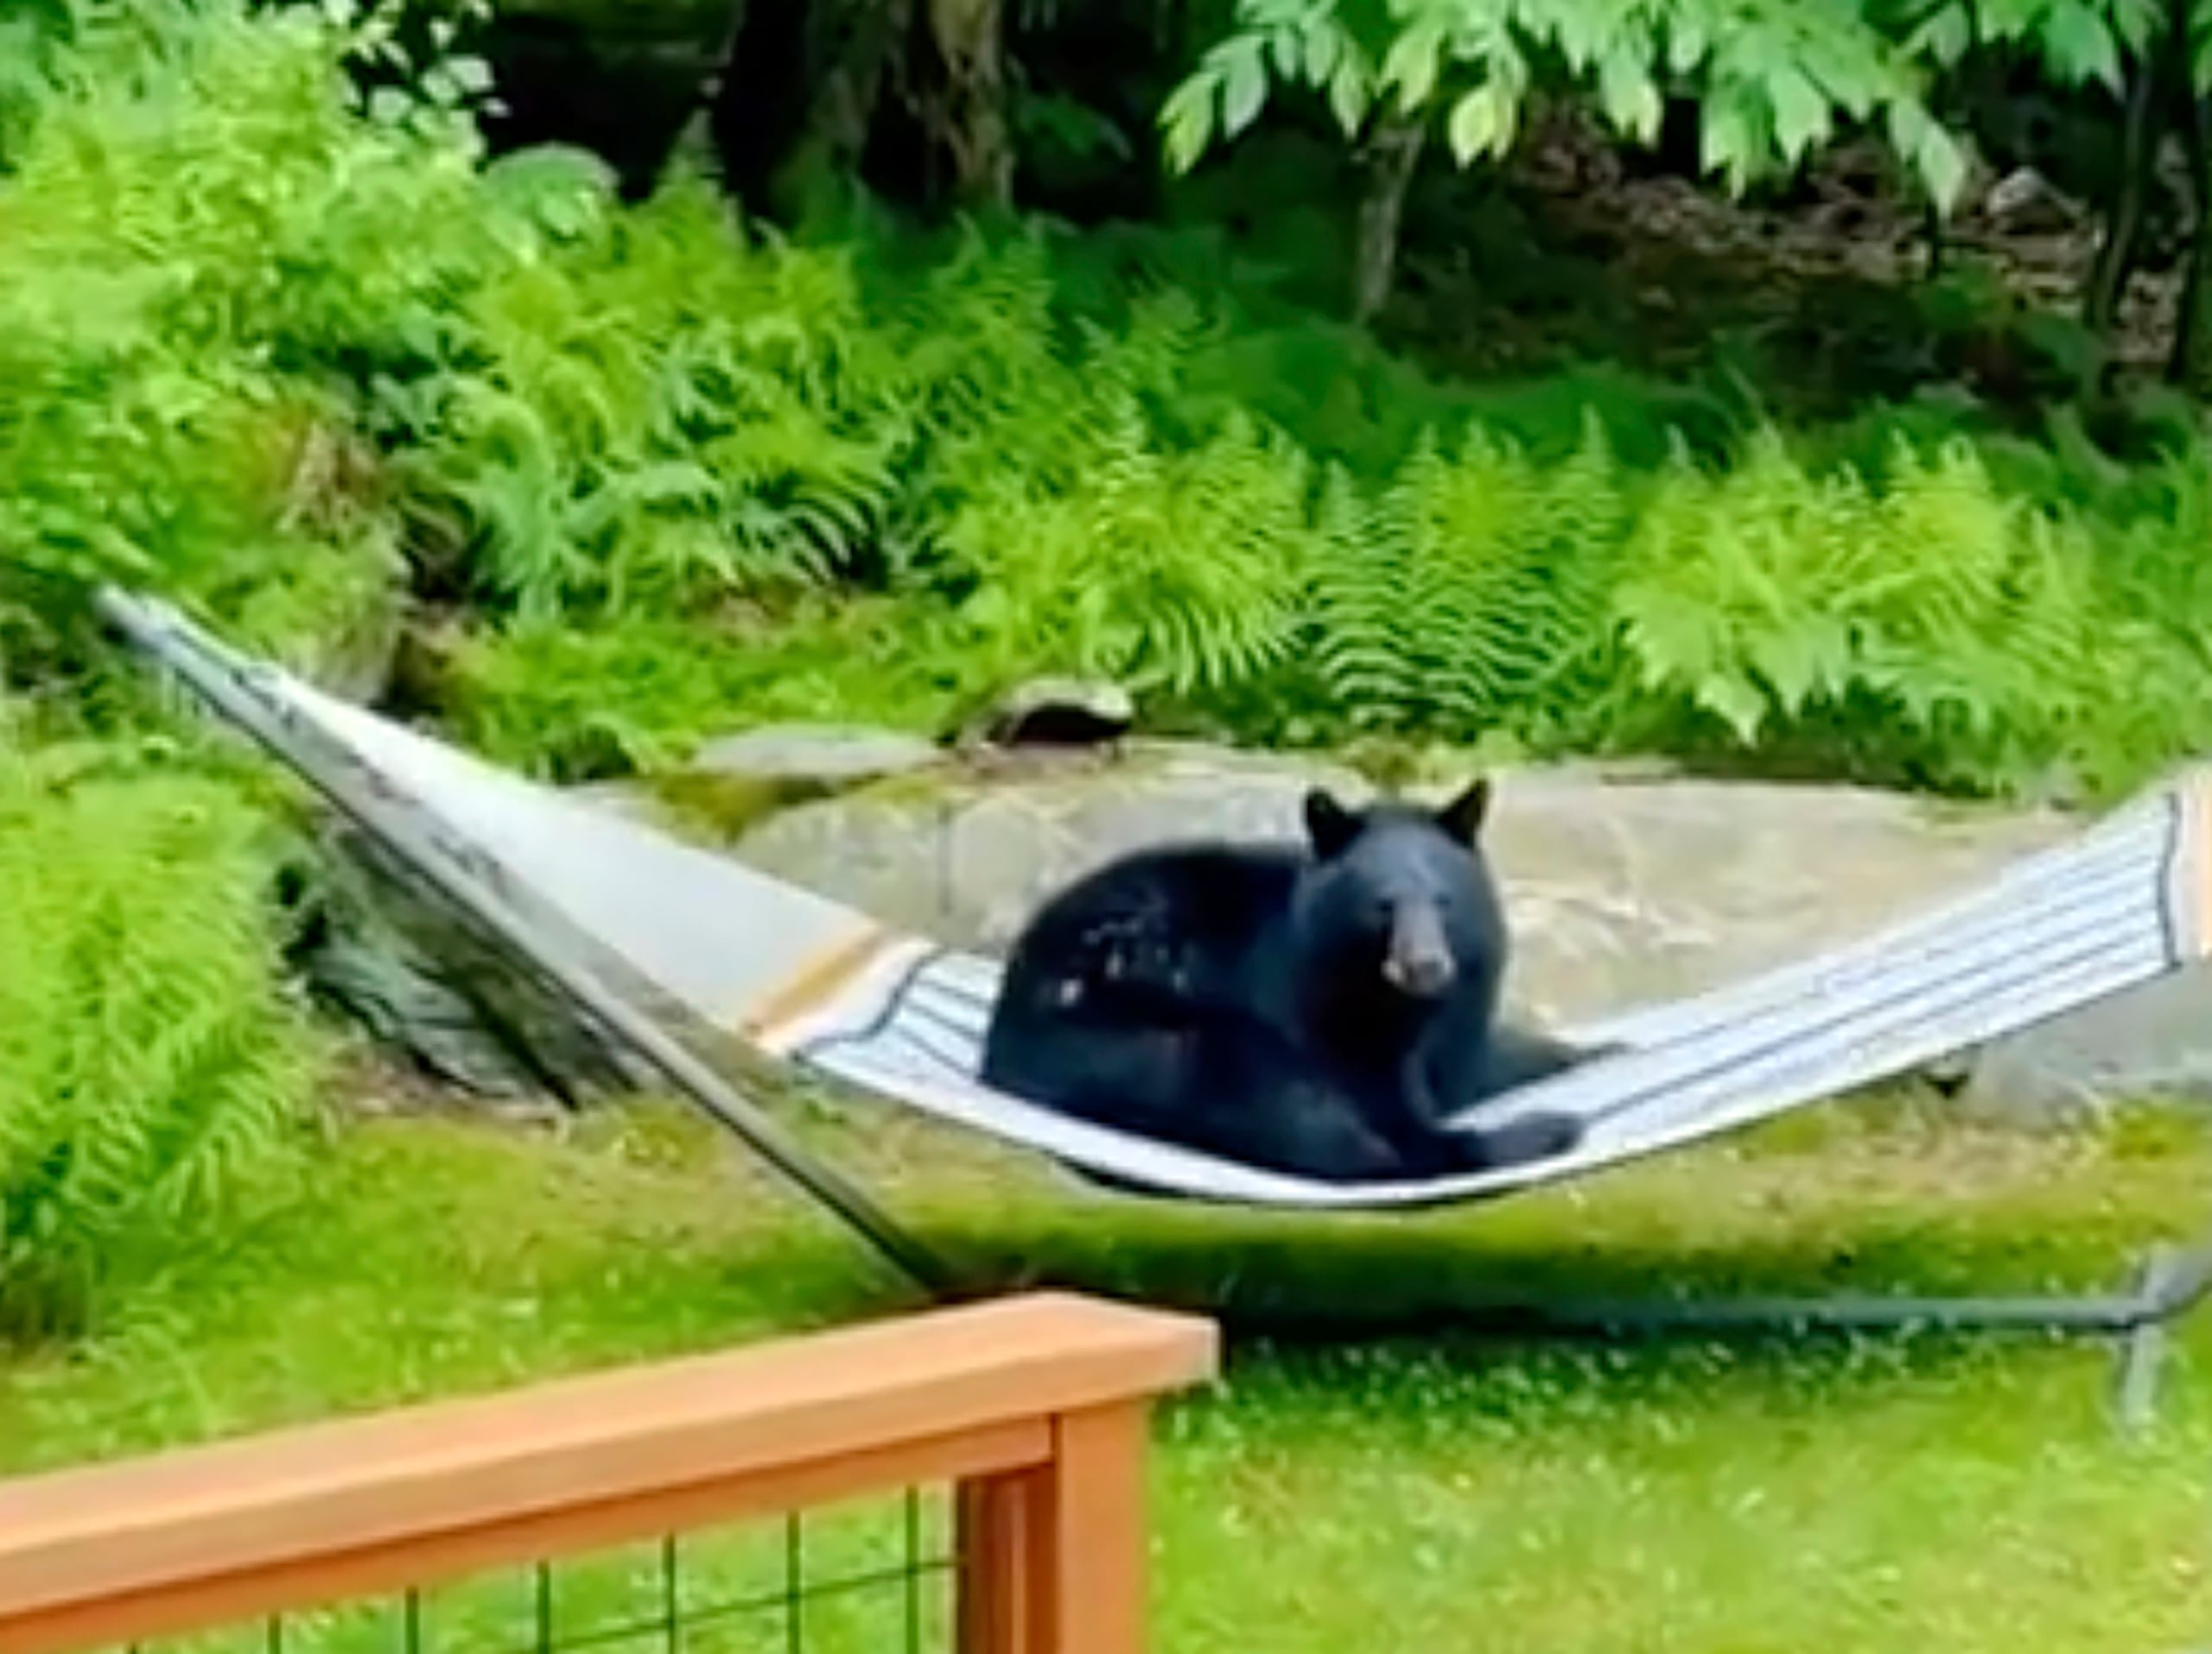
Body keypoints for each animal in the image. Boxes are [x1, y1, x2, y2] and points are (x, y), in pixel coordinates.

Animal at [977, 777, 1607, 1186]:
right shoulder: (1316, 1006)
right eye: (1383, 906)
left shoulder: (1459, 1015)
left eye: (1444, 902)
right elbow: (1383, 1102)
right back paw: (1548, 1129)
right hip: (1146, 1034)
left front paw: (1594, 1051)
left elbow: (1484, 1059)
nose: (1426, 966)